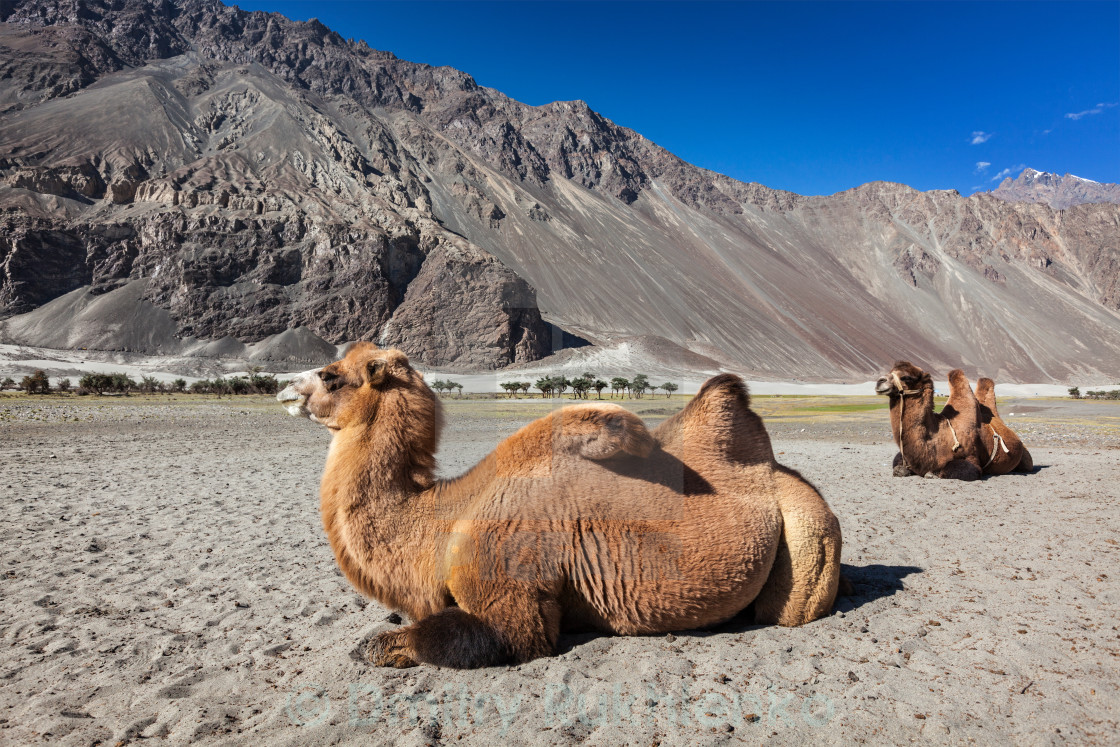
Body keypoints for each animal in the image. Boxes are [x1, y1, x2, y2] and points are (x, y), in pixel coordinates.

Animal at [277, 342, 842, 667]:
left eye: (330, 376)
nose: (283, 389)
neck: (437, 524)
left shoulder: (510, 598)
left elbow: (437, 640)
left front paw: (375, 645)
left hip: (810, 539)